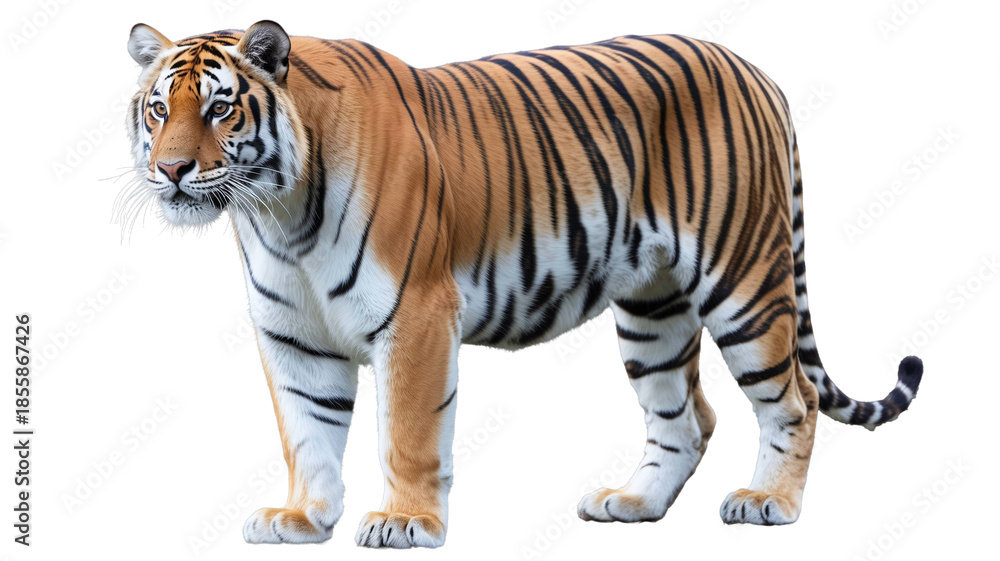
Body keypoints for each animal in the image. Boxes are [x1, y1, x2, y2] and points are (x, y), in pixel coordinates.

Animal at [124, 20, 924, 549]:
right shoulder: (294, 337)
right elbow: (307, 432)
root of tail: (758, 70)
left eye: (220, 107)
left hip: (745, 282)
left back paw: (768, 502)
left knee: (796, 397)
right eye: (159, 109)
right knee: (686, 417)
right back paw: (632, 502)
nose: (170, 170)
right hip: (652, 308)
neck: (279, 214)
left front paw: (405, 522)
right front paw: (302, 518)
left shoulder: (416, 315)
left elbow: (407, 430)